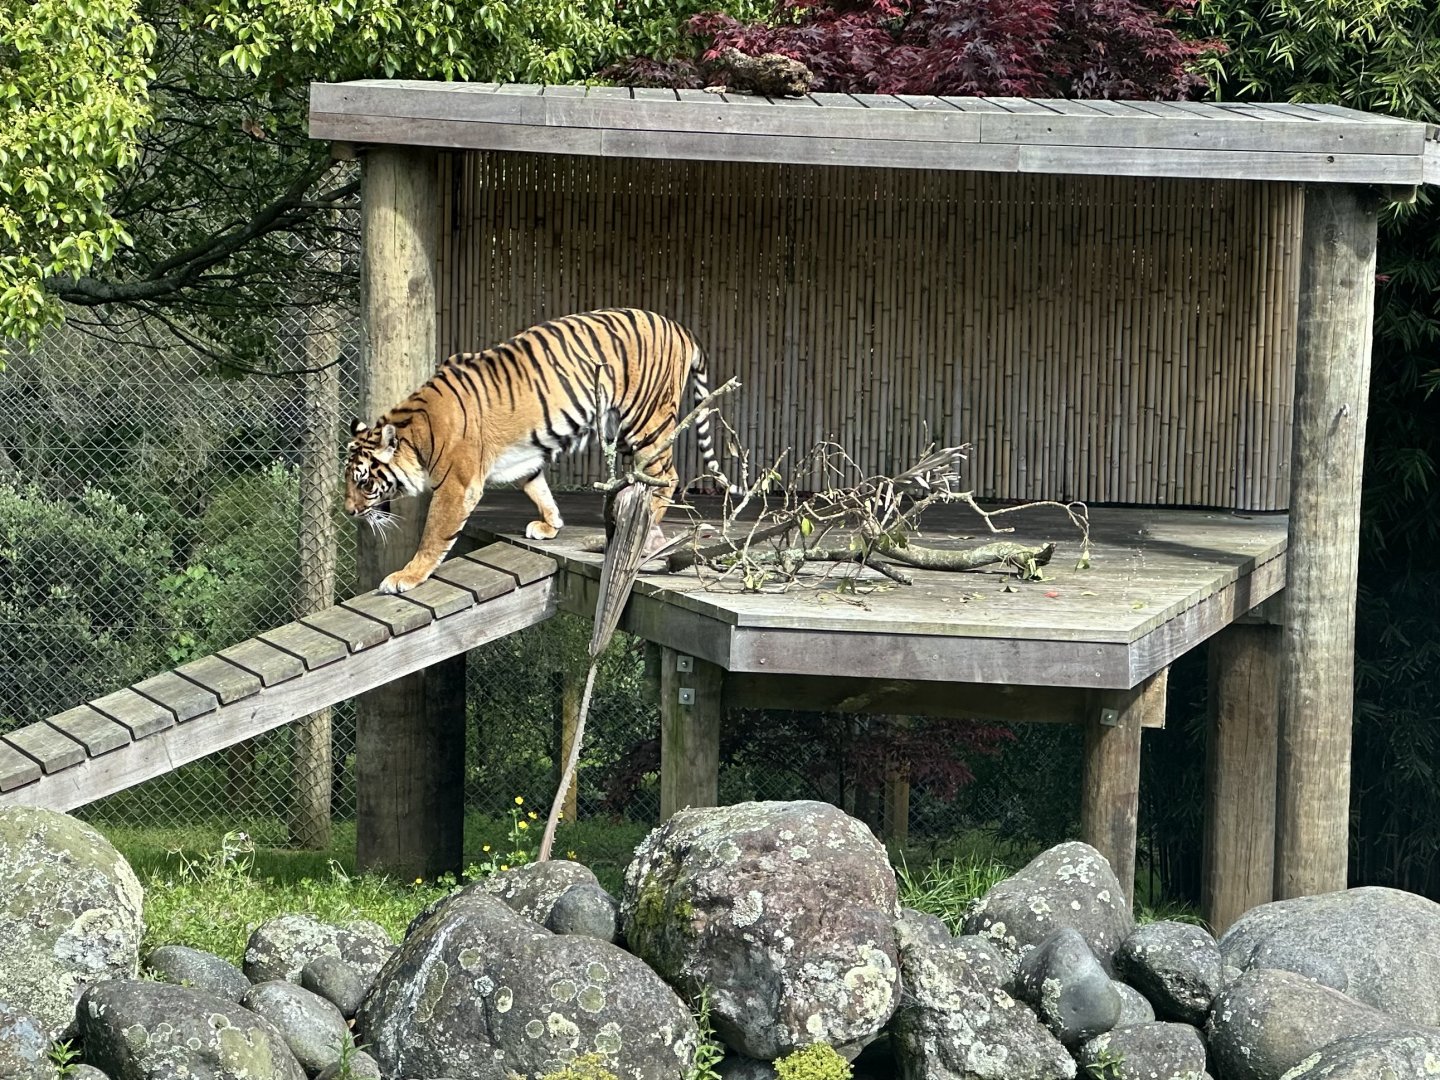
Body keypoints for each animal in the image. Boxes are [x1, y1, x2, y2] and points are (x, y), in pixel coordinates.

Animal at [344, 308, 727, 594]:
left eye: (365, 483)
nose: (349, 512)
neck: (415, 433)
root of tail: (679, 327)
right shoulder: (523, 457)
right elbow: (538, 488)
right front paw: (551, 524)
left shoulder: (457, 485)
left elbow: (434, 535)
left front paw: (406, 576)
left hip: (647, 420)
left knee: (667, 475)